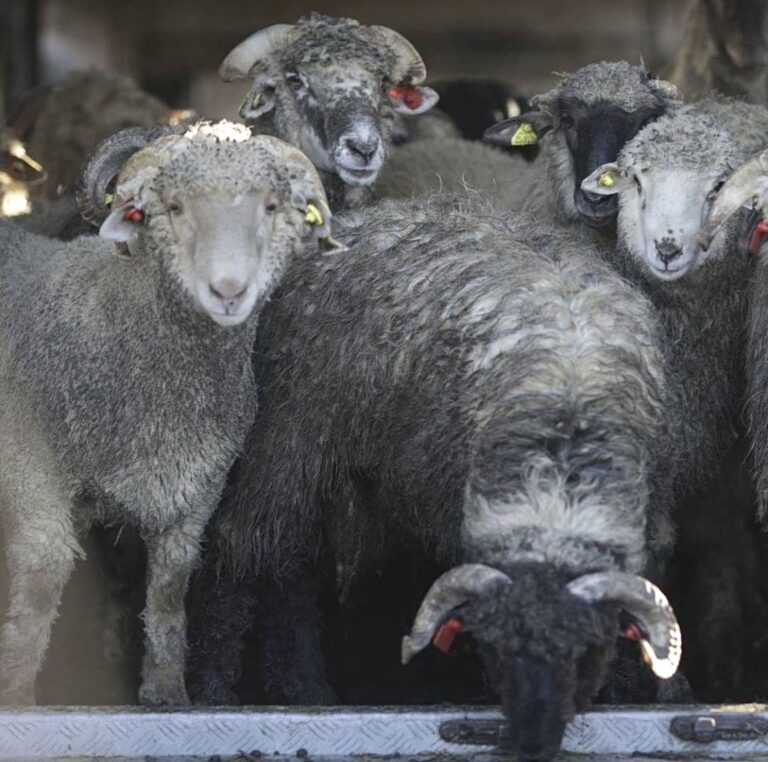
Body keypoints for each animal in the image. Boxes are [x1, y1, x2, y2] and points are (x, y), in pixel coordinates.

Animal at [0, 121, 336, 706]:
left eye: (271, 206)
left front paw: (166, 693)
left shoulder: (193, 499)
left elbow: (168, 600)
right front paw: (17, 700)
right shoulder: (31, 472)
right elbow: (38, 596)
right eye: (174, 207)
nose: (229, 291)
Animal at [189, 195, 682, 762]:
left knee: (293, 577)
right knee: (242, 548)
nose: (531, 743)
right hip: (289, 438)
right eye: (492, 647)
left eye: (585, 650)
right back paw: (217, 689)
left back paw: (304, 690)